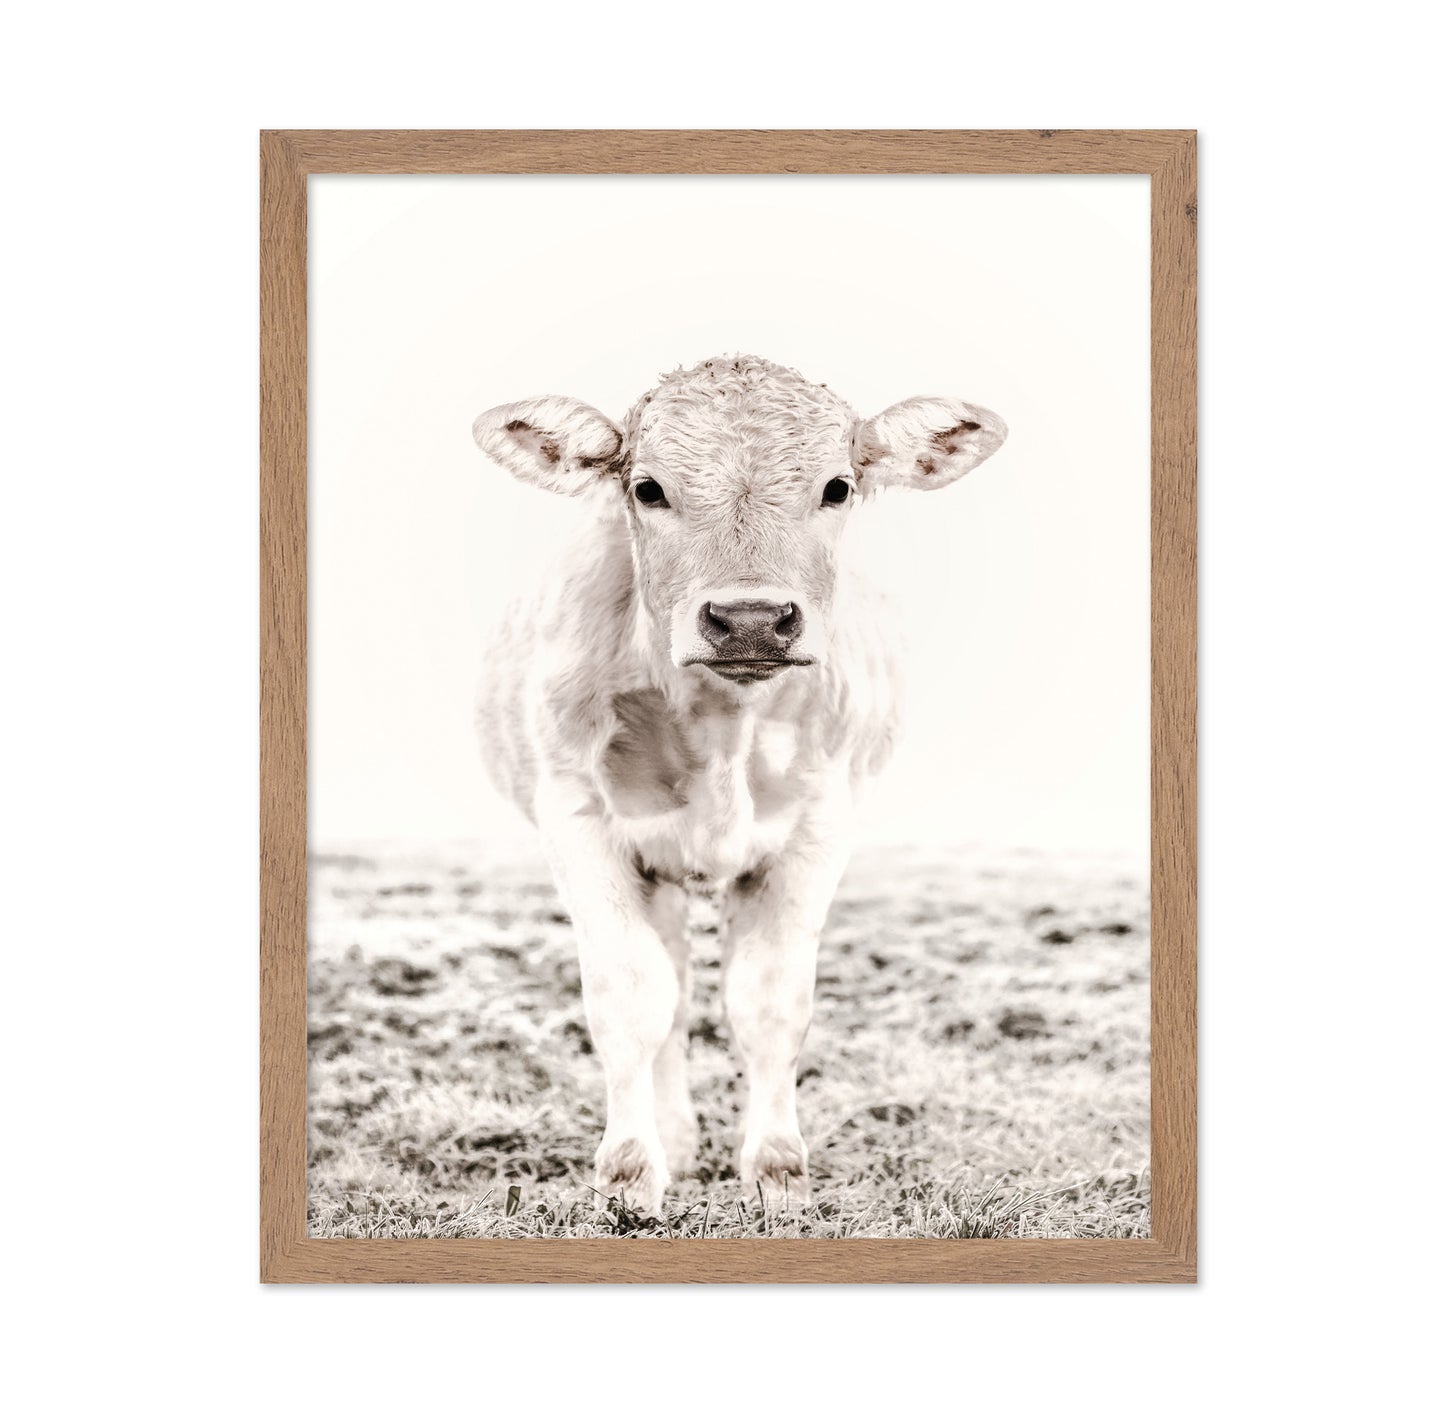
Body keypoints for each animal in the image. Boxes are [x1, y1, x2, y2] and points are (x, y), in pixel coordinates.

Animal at [472, 355, 1006, 1215]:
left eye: (837, 487)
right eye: (647, 488)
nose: (750, 618)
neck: (722, 724)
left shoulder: (819, 827)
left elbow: (769, 1000)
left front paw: (778, 1170)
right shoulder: (578, 819)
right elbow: (631, 997)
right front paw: (630, 1170)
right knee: (671, 994)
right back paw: (674, 1138)